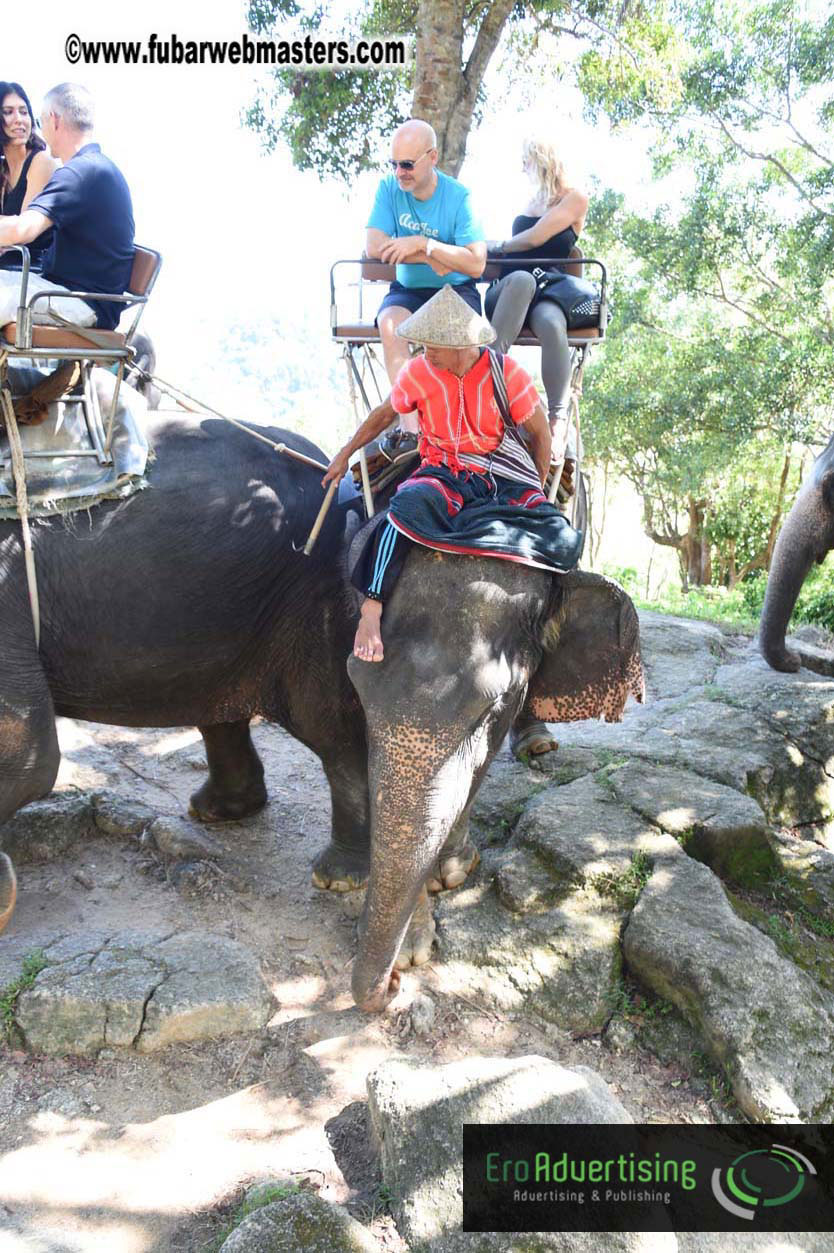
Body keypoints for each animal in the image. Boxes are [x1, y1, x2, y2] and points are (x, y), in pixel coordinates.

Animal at [0, 413, 644, 1011]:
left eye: (496, 707)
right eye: (363, 685)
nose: (393, 982)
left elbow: (28, 757)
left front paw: (440, 883)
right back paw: (231, 819)